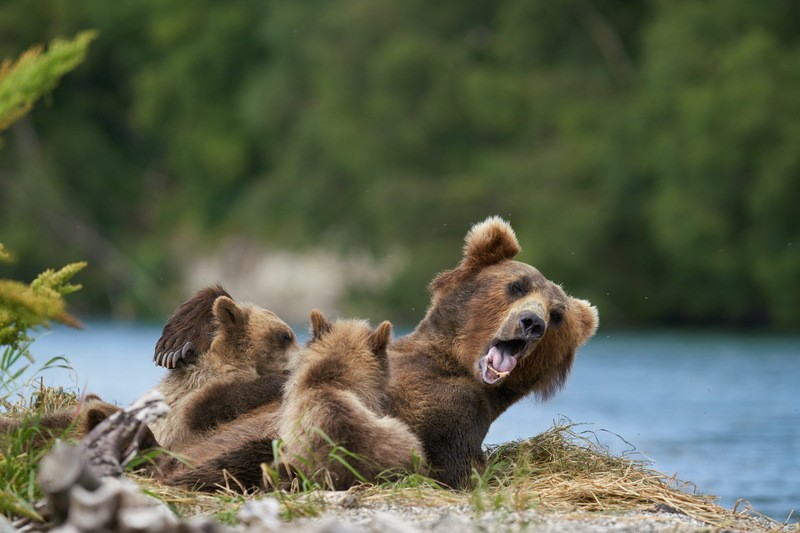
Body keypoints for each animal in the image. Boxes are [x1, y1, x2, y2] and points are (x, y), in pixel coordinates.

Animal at [156, 217, 596, 490]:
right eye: (517, 285)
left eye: (557, 315)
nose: (532, 322)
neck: (449, 361)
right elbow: (205, 403)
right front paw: (179, 340)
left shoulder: (459, 414)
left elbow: (446, 466)